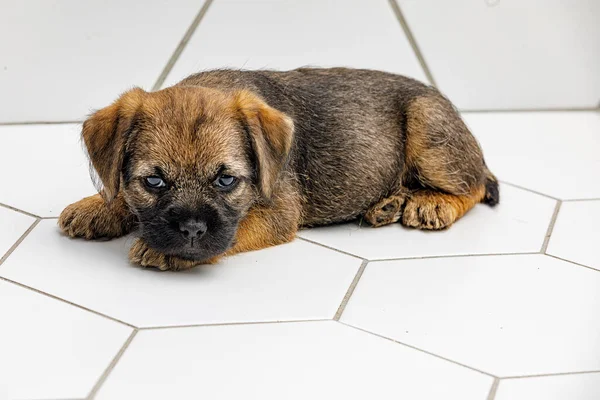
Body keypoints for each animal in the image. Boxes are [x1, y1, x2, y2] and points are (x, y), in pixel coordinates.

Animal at [58, 69, 500, 270]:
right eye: (154, 180)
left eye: (226, 180)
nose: (191, 231)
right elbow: (119, 190)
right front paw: (98, 206)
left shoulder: (277, 213)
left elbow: (239, 229)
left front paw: (168, 251)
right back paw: (388, 203)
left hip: (428, 126)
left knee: (476, 185)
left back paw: (431, 203)